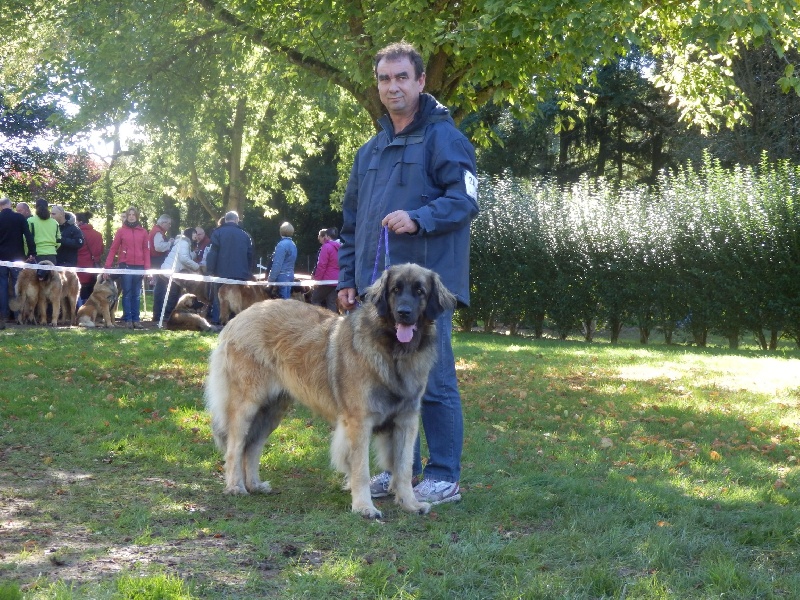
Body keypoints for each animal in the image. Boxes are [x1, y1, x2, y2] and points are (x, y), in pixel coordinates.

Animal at [205, 264, 456, 516]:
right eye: (396, 290)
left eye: (420, 291)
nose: (404, 312)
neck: (393, 352)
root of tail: (239, 318)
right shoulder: (359, 422)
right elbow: (361, 470)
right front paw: (364, 507)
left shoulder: (406, 420)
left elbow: (403, 468)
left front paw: (410, 504)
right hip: (247, 404)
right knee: (235, 446)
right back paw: (236, 486)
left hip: (272, 409)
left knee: (252, 446)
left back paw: (255, 485)